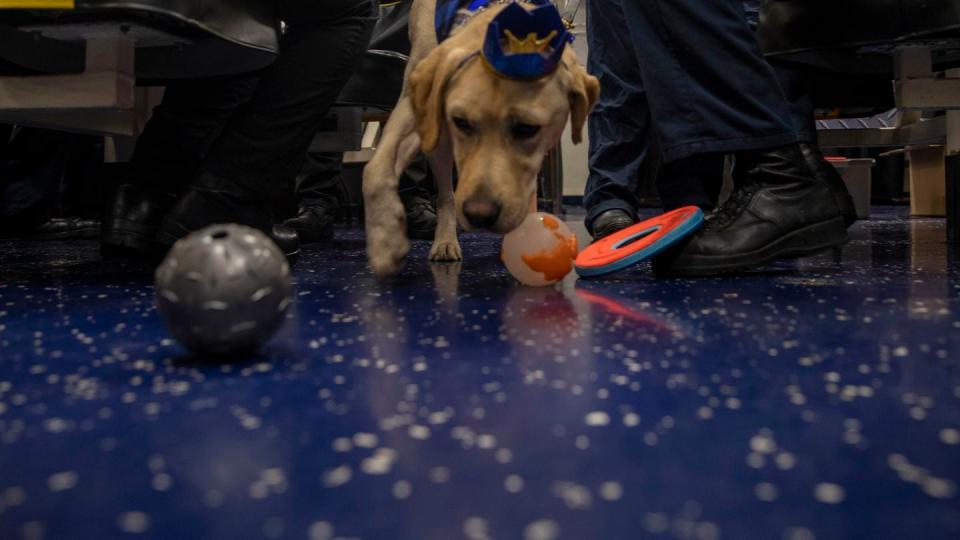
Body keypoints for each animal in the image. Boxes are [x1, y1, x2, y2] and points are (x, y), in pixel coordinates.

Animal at [362, 0, 596, 276]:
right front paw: (386, 239)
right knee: (446, 195)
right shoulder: (416, 106)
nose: (480, 214)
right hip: (437, 140)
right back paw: (445, 240)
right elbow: (375, 169)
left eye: (527, 129)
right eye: (461, 122)